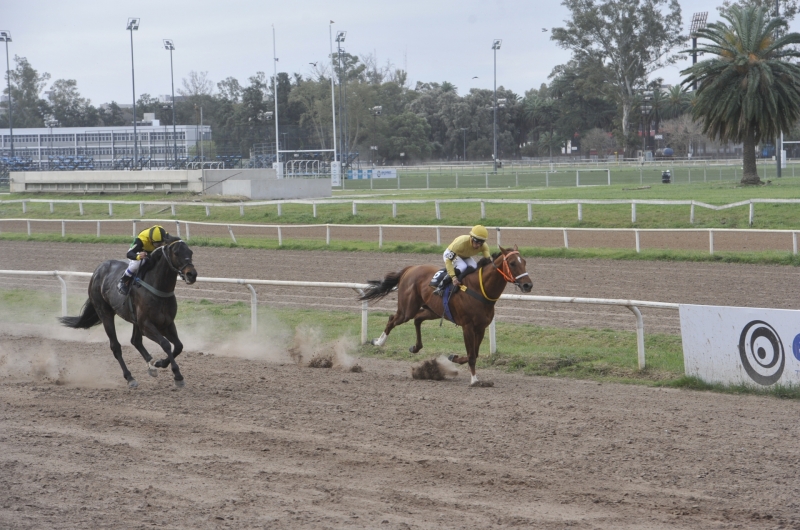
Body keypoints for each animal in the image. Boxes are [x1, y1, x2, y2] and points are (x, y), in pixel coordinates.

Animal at [59, 237, 197, 386]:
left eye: (190, 252)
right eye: (176, 253)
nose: (192, 274)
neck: (158, 288)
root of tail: (97, 271)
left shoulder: (166, 323)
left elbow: (179, 346)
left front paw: (160, 363)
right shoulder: (146, 325)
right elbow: (165, 344)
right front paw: (177, 376)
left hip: (134, 320)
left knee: (135, 341)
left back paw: (151, 364)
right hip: (105, 313)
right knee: (116, 346)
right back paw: (130, 377)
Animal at [360, 243, 536, 384]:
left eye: (525, 262)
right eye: (512, 263)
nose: (528, 285)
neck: (480, 289)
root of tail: (409, 269)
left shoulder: (481, 327)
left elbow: (475, 353)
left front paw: (454, 358)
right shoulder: (467, 326)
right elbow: (472, 355)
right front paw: (474, 380)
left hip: (434, 310)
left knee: (417, 319)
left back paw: (416, 347)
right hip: (407, 309)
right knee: (392, 319)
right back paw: (378, 342)